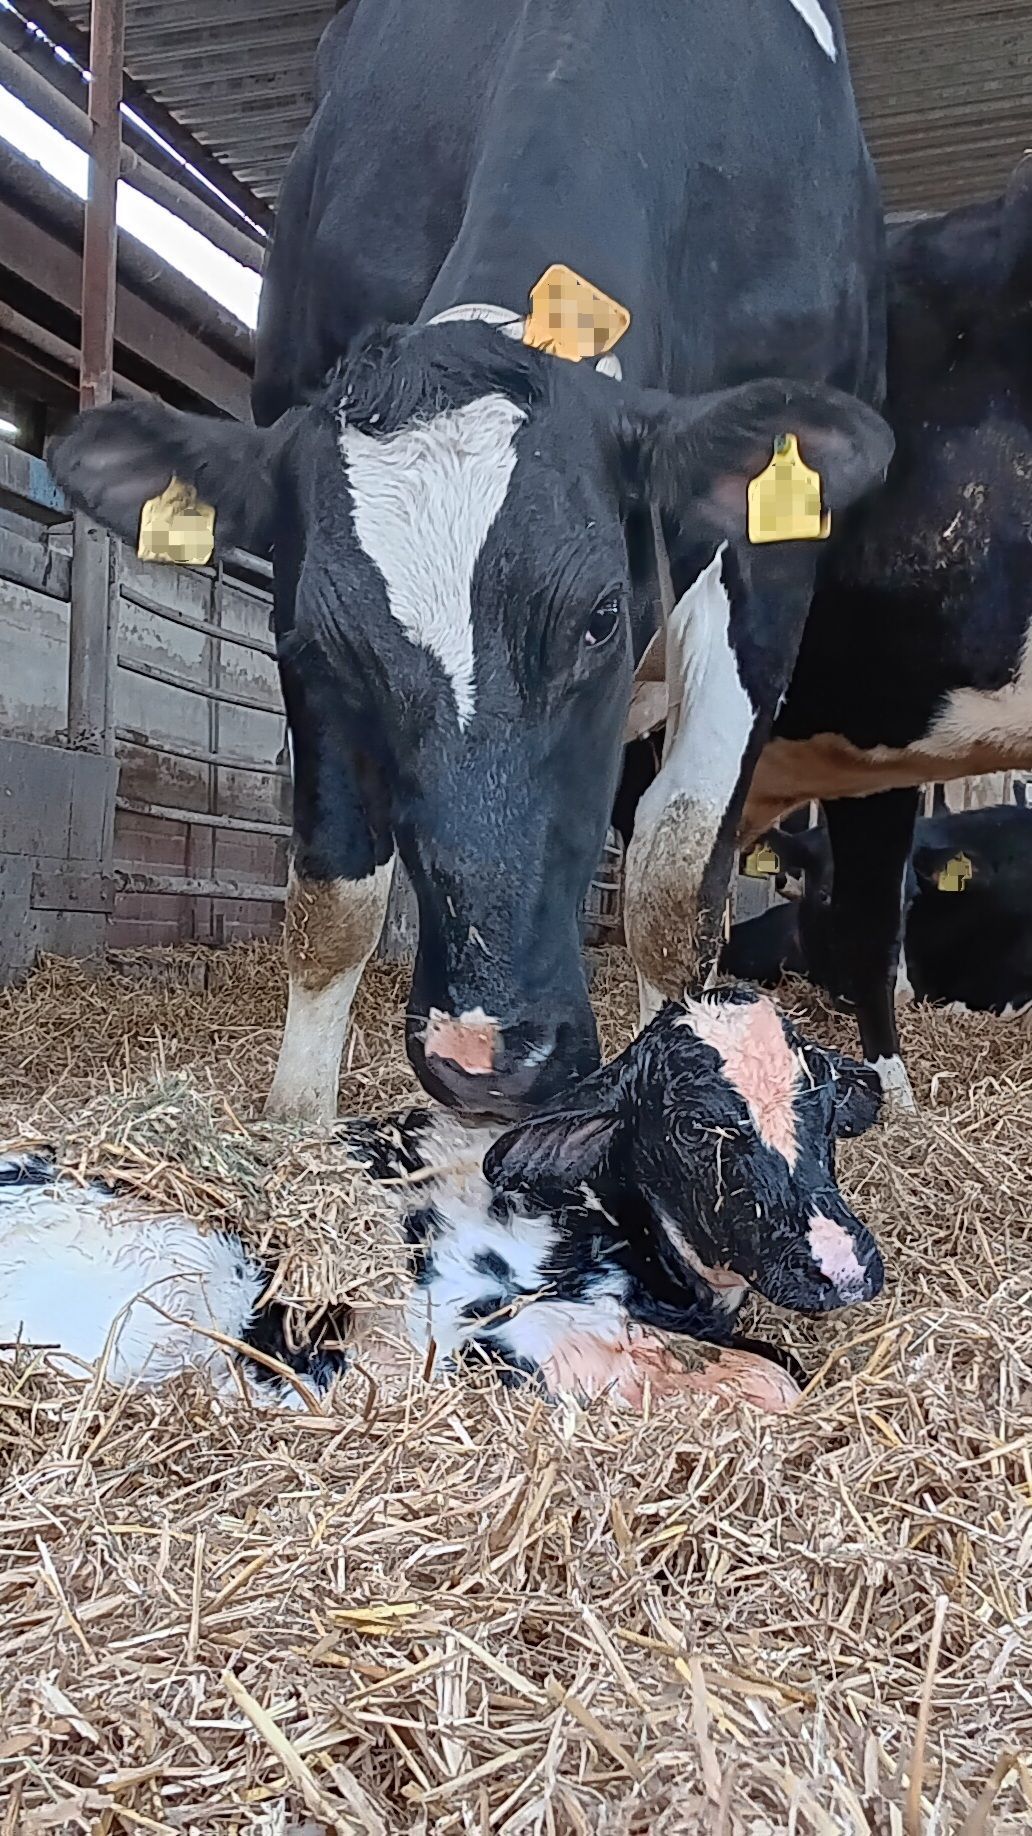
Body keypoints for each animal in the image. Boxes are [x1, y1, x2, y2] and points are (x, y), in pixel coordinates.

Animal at [47, 0, 891, 1122]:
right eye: (323, 643)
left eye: (599, 618)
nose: (486, 1057)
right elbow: (335, 895)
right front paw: (297, 1120)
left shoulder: (768, 555)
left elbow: (673, 886)